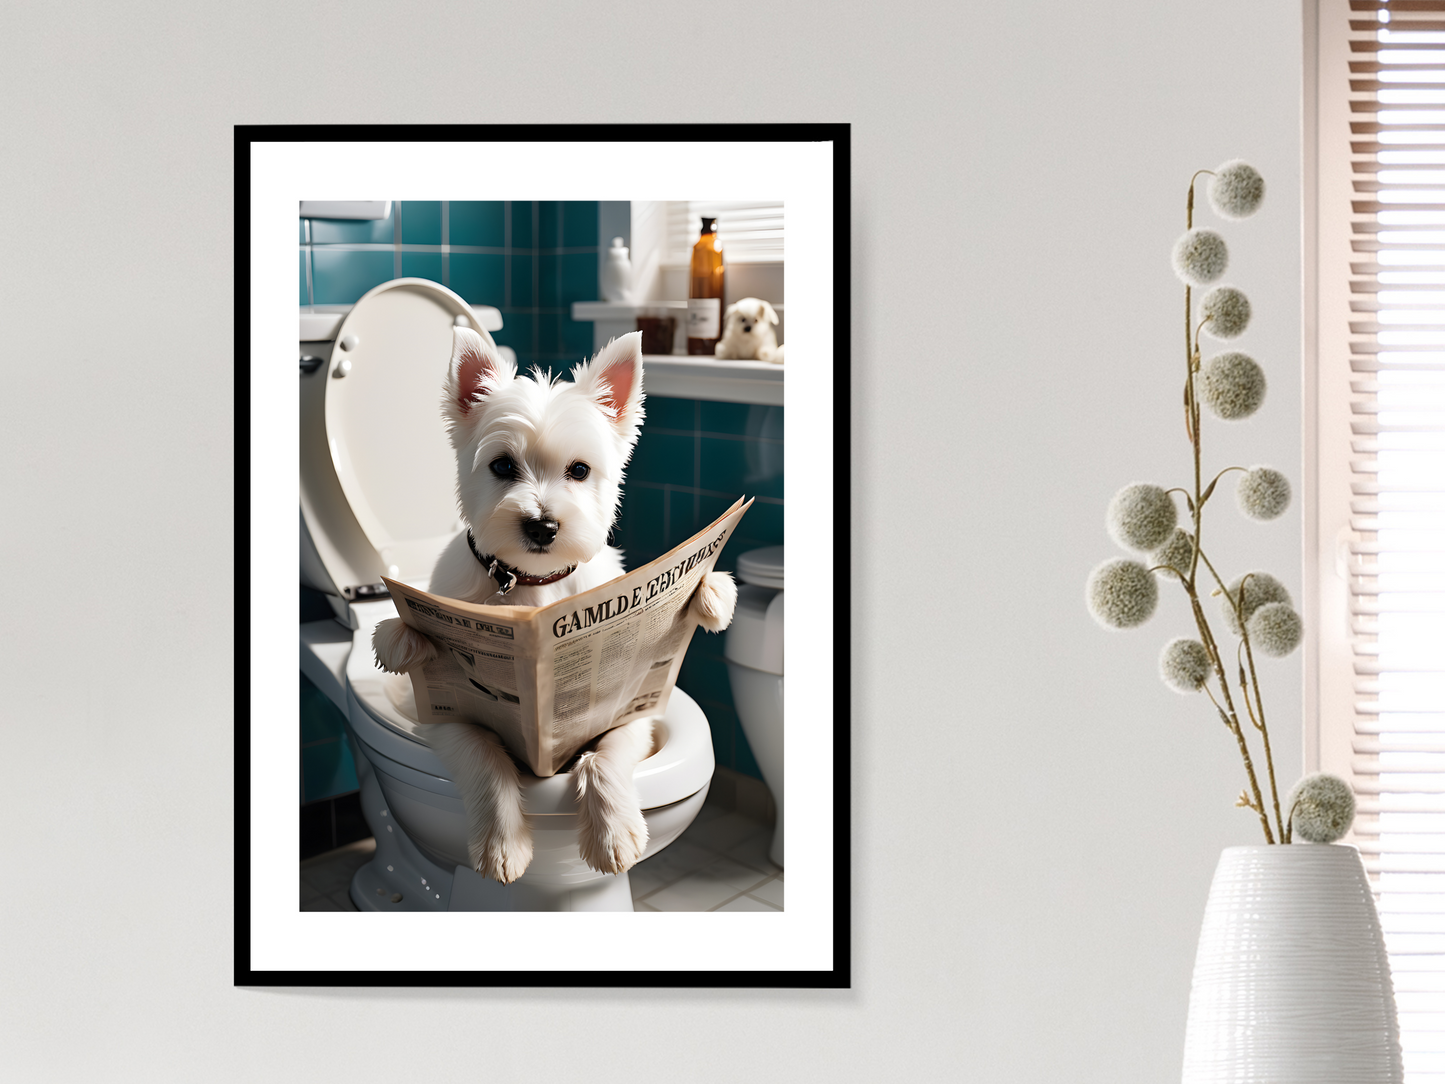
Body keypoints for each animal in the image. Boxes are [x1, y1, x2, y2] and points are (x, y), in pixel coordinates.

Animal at [375, 329, 734, 884]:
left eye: (579, 470)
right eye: (502, 466)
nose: (542, 525)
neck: (532, 582)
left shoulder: (631, 704)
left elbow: (604, 756)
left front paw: (613, 834)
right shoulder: (448, 710)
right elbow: (486, 758)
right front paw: (503, 843)